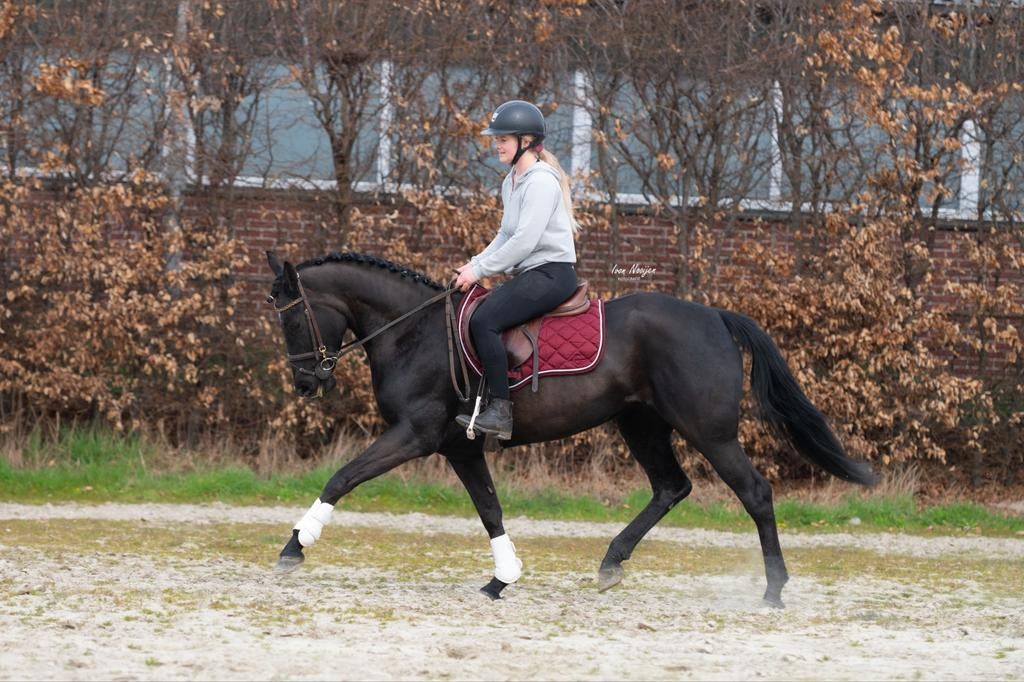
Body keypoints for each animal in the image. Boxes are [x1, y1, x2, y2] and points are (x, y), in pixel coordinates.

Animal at [264, 250, 876, 607]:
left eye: (292, 317)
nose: (306, 381)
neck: (415, 331)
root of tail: (715, 317)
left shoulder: (415, 434)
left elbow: (343, 477)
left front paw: (295, 546)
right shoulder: (457, 446)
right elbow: (489, 508)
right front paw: (503, 578)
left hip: (711, 433)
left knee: (754, 492)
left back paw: (773, 589)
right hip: (640, 424)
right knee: (671, 487)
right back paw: (611, 564)